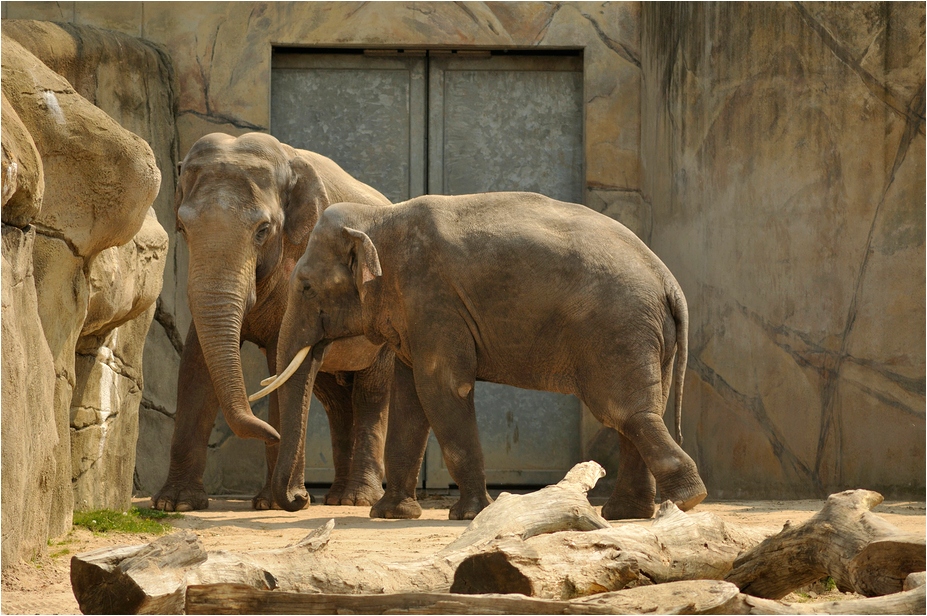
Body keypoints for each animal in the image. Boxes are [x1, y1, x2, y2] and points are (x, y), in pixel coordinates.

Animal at [152, 132, 394, 512]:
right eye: (182, 227)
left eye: (263, 230)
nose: (302, 497)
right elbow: (195, 363)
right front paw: (175, 504)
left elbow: (280, 361)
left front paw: (272, 504)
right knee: (335, 400)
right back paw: (336, 497)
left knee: (370, 392)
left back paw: (355, 499)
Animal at [255, 191, 708, 520]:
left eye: (306, 287)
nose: (300, 500)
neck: (378, 219)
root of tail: (669, 281)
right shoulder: (416, 314)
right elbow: (410, 399)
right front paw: (391, 514)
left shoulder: (434, 300)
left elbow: (441, 388)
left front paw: (466, 515)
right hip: (641, 335)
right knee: (636, 414)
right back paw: (626, 514)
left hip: (617, 328)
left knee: (624, 411)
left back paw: (685, 501)